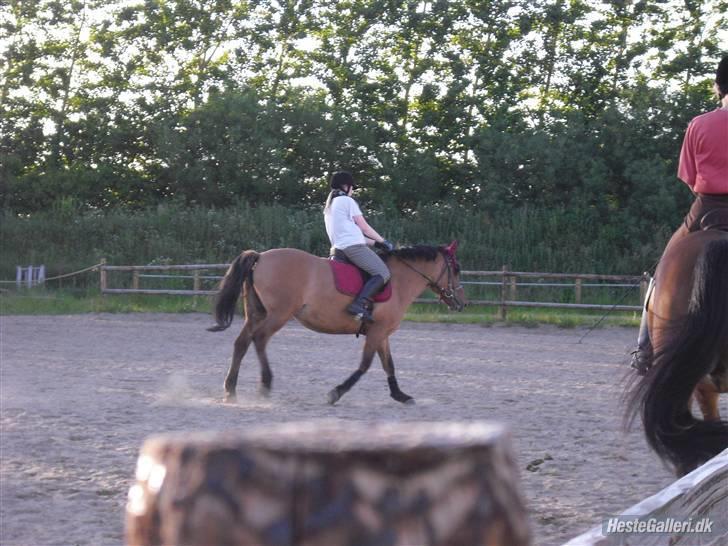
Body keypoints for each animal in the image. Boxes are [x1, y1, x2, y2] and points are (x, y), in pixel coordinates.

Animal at [208, 242, 466, 405]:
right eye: (456, 269)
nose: (462, 303)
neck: (399, 280)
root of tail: (260, 257)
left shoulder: (381, 333)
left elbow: (389, 365)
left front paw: (401, 395)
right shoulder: (377, 332)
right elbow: (365, 365)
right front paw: (336, 393)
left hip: (256, 313)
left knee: (241, 343)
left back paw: (230, 390)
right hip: (278, 314)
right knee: (259, 340)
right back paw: (265, 384)